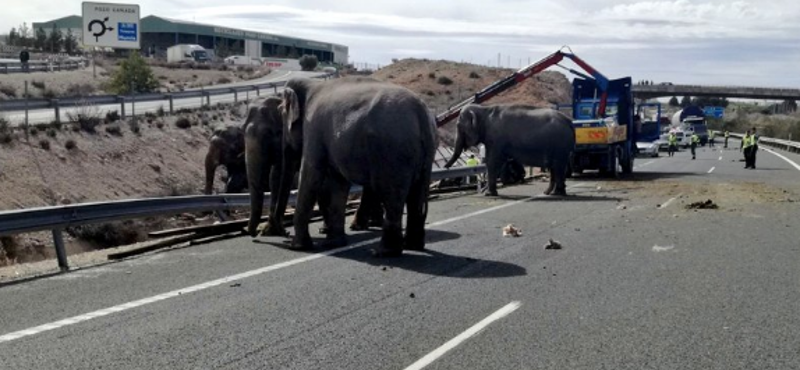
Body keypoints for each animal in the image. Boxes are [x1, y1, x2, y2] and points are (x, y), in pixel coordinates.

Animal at [276, 77, 438, 258]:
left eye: (280, 113)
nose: (284, 233)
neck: (311, 84)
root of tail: (421, 113)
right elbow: (338, 182)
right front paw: (333, 244)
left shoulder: (313, 129)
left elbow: (311, 174)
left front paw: (298, 247)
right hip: (425, 153)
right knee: (417, 195)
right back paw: (413, 246)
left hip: (393, 152)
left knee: (392, 195)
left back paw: (383, 252)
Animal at [444, 104, 576, 197]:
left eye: (458, 126)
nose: (445, 168)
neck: (484, 109)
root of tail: (569, 121)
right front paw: (487, 192)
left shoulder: (496, 138)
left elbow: (493, 161)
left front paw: (488, 194)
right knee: (555, 167)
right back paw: (549, 193)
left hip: (560, 144)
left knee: (558, 167)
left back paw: (556, 193)